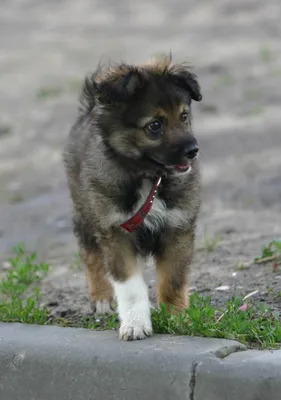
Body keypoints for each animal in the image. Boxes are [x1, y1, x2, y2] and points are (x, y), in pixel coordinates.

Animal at [63, 53, 201, 340]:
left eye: (184, 116)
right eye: (155, 125)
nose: (193, 150)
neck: (148, 177)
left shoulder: (178, 228)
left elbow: (173, 280)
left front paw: (176, 319)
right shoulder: (115, 232)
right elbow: (130, 287)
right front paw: (135, 324)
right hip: (84, 213)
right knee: (91, 257)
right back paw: (101, 298)